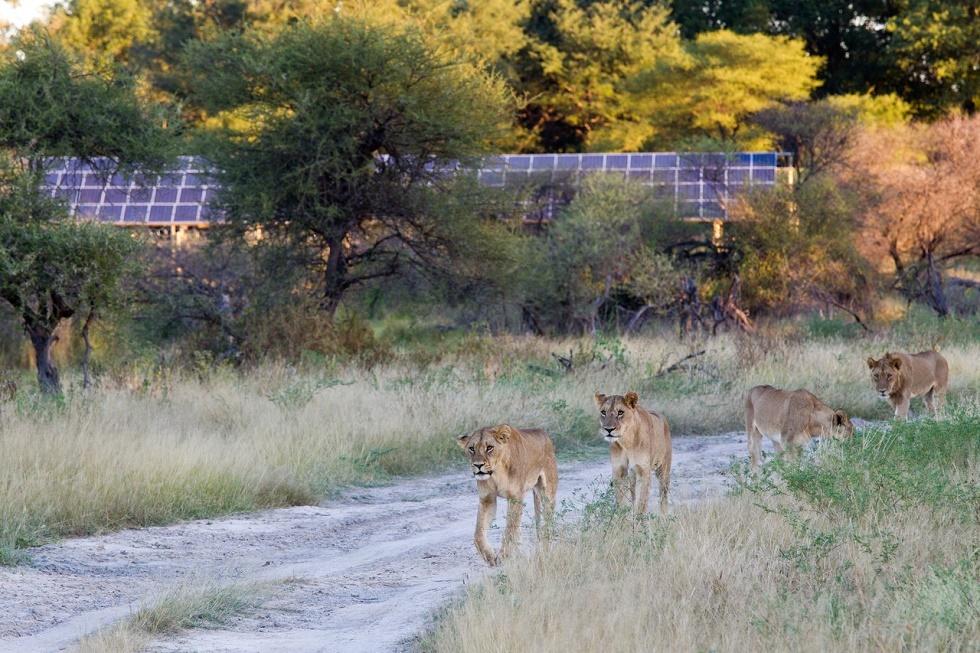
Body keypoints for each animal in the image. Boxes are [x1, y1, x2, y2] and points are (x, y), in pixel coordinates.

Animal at [457, 425, 558, 566]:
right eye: (471, 448)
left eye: (489, 448)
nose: (478, 465)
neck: (497, 472)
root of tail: (542, 432)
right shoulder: (487, 499)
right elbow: (478, 534)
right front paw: (489, 556)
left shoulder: (515, 498)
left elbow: (510, 530)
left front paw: (503, 556)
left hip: (547, 491)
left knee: (548, 521)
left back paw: (545, 547)